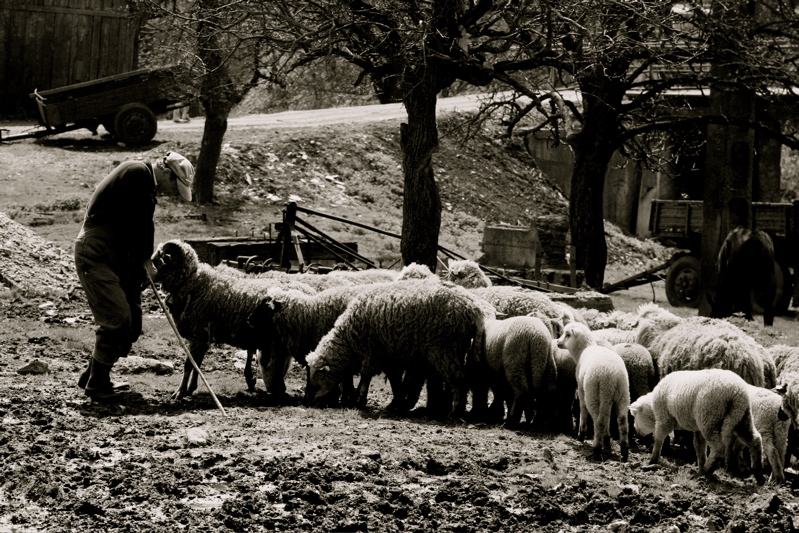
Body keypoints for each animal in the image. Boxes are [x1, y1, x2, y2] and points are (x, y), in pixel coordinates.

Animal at [151, 239, 295, 399]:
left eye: (156, 261)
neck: (192, 283)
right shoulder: (203, 338)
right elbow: (197, 364)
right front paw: (190, 388)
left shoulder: (198, 335)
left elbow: (189, 364)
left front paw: (180, 391)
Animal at [304, 280, 486, 418]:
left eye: (318, 375)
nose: (308, 401)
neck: (350, 340)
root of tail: (473, 309)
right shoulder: (390, 356)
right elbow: (395, 380)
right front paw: (396, 402)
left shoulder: (373, 351)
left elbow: (366, 376)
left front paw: (359, 400)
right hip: (452, 350)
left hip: (445, 348)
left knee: (459, 379)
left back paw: (455, 412)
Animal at [556, 322, 630, 462]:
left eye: (567, 334)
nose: (558, 342)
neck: (584, 350)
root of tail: (611, 376)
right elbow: (608, 417)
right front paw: (607, 441)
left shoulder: (580, 387)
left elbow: (582, 408)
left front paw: (581, 435)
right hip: (622, 393)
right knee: (622, 420)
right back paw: (624, 451)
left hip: (594, 392)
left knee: (598, 421)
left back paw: (597, 449)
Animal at [629, 369, 764, 484]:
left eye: (635, 417)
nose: (636, 431)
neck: (653, 408)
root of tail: (738, 393)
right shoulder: (698, 429)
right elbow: (699, 447)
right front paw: (701, 465)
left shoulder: (664, 419)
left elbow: (659, 439)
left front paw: (653, 460)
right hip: (742, 417)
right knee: (755, 440)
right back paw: (758, 474)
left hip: (709, 417)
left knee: (718, 448)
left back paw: (705, 472)